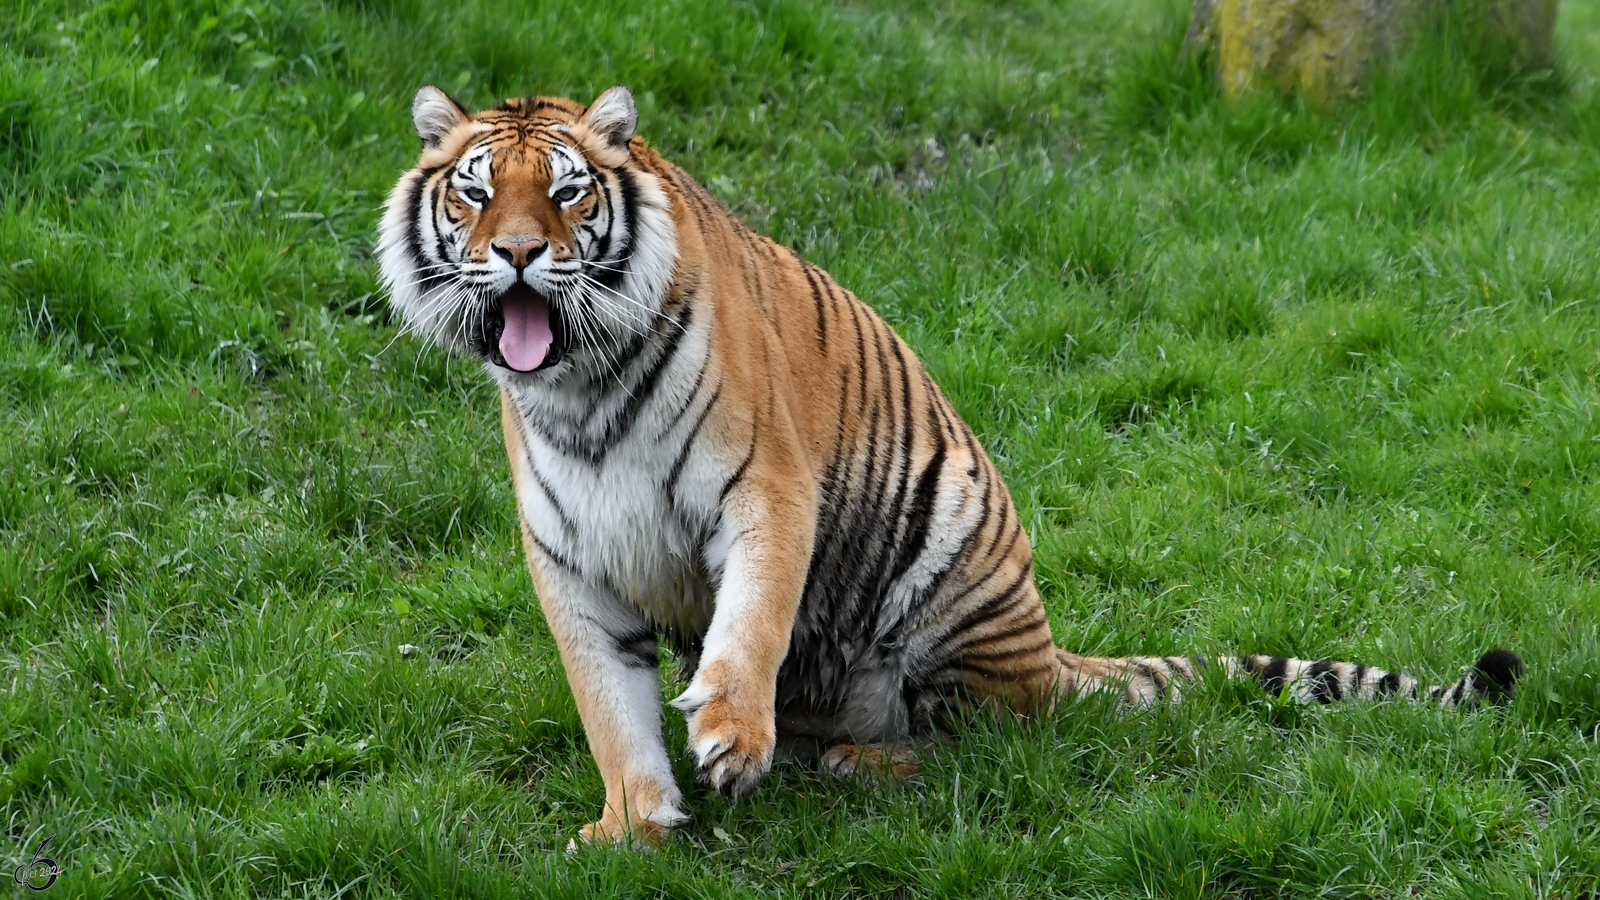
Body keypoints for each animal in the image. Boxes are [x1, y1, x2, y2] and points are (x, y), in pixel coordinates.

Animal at [374, 82, 1523, 839]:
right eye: (476, 195)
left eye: (567, 195)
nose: (519, 253)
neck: (579, 387)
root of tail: (1053, 653)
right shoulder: (570, 557)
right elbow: (609, 708)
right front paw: (633, 828)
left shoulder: (764, 488)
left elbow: (750, 622)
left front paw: (730, 736)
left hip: (950, 549)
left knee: (992, 740)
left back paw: (852, 759)